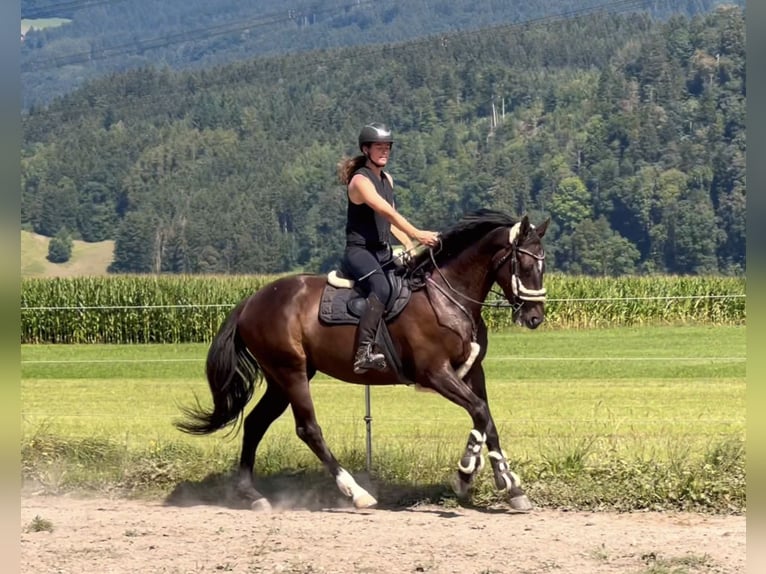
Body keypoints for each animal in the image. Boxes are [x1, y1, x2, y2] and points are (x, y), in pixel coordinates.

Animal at [177, 210, 548, 512]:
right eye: (527, 265)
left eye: (544, 267)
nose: (535, 318)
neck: (448, 297)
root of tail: (251, 301)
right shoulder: (436, 373)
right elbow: (480, 413)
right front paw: (471, 474)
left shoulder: (472, 372)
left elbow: (486, 419)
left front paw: (505, 484)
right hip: (291, 373)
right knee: (308, 428)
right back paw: (356, 492)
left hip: (281, 379)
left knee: (255, 424)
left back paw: (252, 495)